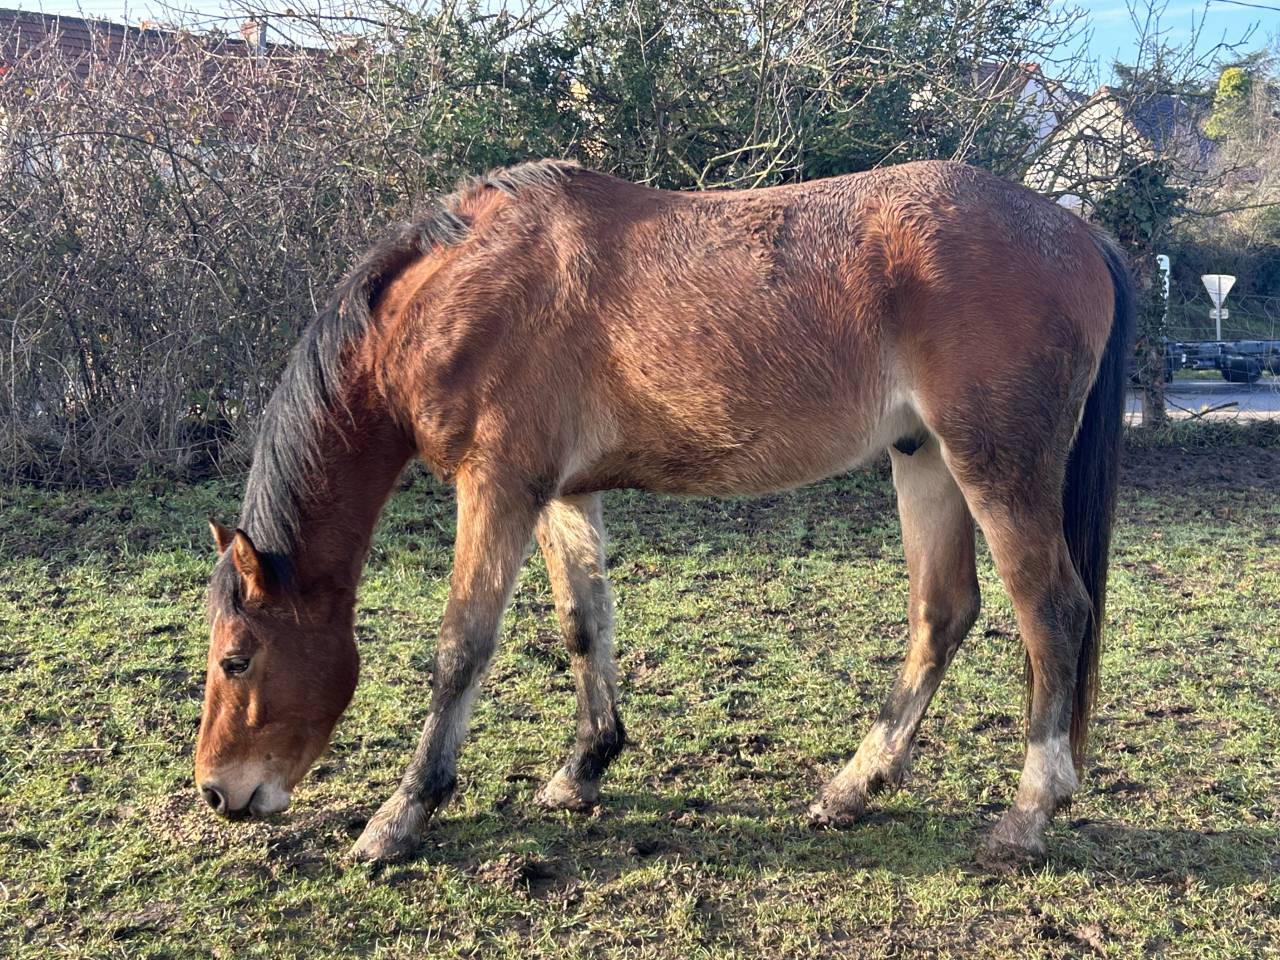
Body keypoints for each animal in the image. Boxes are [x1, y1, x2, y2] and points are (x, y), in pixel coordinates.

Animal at [195, 158, 1133, 864]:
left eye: (237, 660)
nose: (217, 791)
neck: (463, 286)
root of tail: (1074, 230)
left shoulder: (496, 486)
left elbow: (460, 651)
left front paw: (401, 816)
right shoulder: (562, 494)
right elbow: (584, 626)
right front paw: (584, 768)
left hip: (994, 467)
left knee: (1053, 612)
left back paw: (1026, 815)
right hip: (925, 459)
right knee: (943, 613)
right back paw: (851, 788)